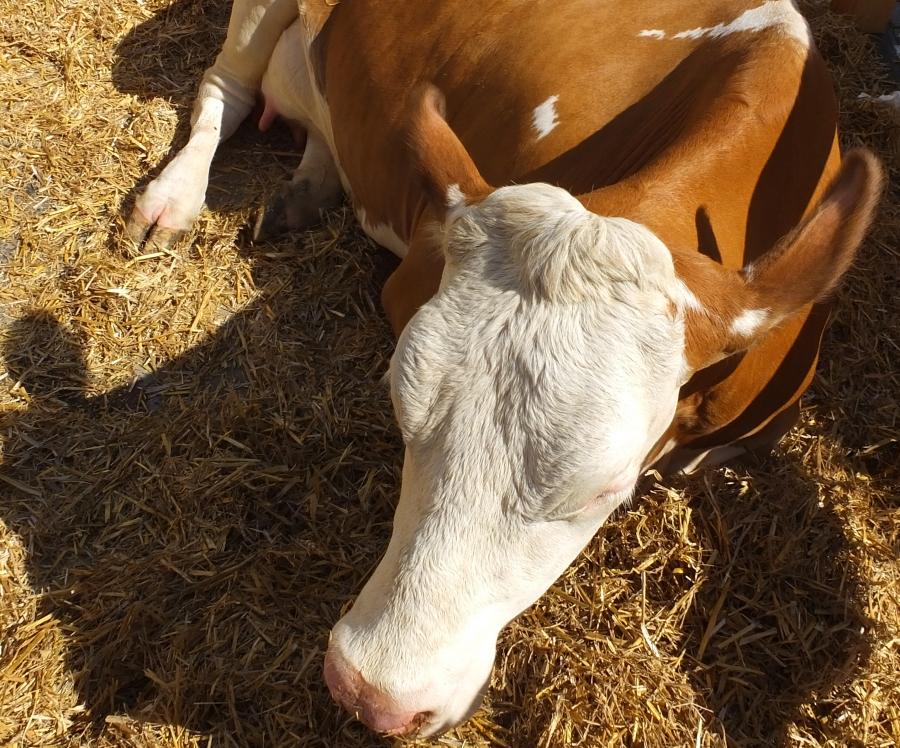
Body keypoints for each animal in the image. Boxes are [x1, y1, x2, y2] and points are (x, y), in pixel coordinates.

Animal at [123, 0, 884, 736]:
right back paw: (173, 199)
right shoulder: (412, 277)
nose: (372, 694)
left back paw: (306, 187)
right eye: (401, 410)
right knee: (225, 88)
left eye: (607, 490)